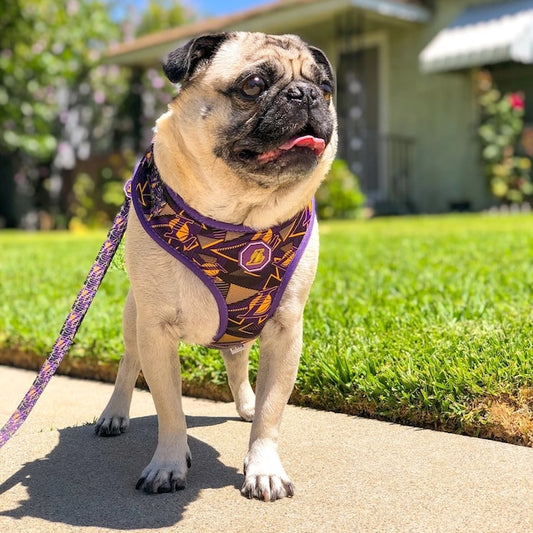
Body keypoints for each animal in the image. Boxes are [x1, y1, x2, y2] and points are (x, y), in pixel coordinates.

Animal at [94, 31, 336, 500]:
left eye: (326, 87)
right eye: (254, 85)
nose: (306, 94)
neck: (239, 216)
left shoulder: (286, 330)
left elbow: (272, 411)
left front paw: (263, 467)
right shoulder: (156, 332)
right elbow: (170, 411)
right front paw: (168, 465)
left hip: (244, 330)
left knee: (237, 363)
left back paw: (245, 403)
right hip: (134, 320)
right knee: (128, 366)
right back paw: (114, 414)